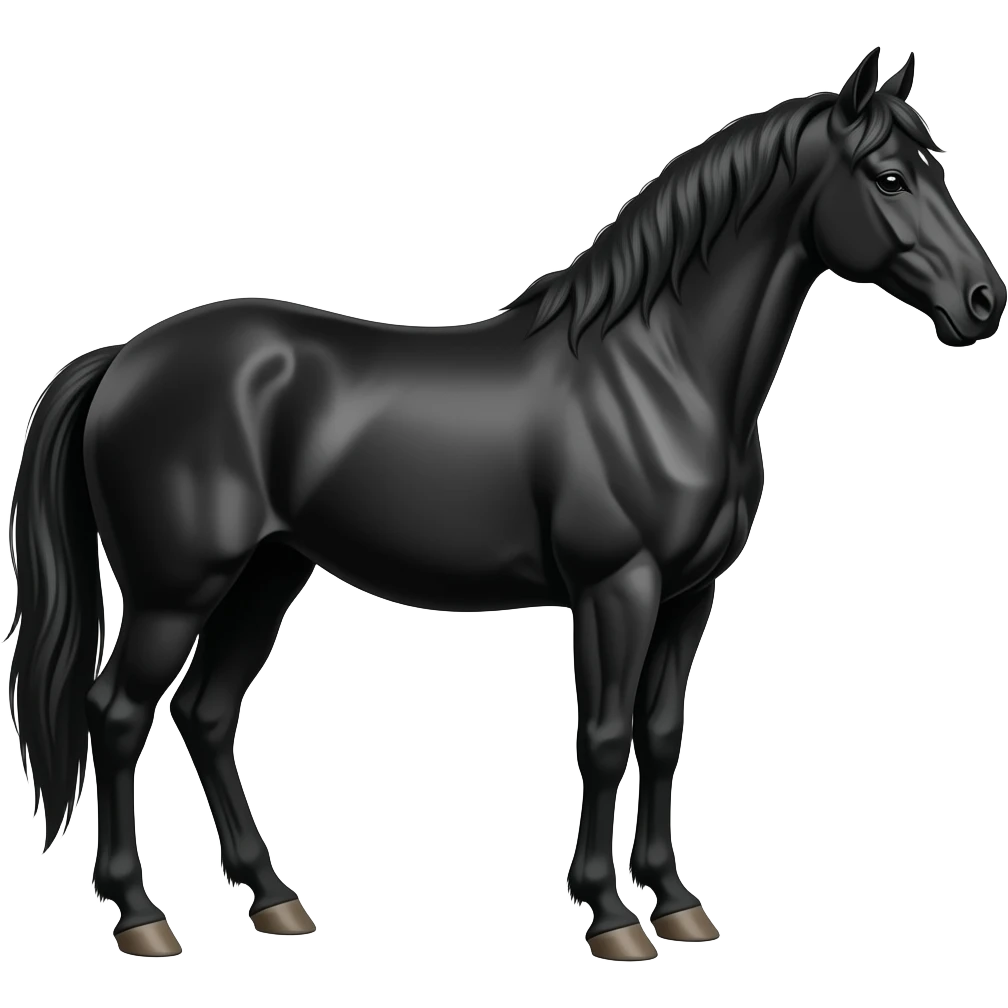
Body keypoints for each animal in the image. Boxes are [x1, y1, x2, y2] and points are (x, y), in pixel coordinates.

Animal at [5, 47, 1004, 961]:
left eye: (938, 166)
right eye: (888, 177)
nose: (984, 301)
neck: (660, 370)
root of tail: (124, 359)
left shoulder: (691, 594)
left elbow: (663, 734)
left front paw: (679, 901)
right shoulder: (617, 588)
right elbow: (603, 736)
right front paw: (611, 915)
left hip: (267, 574)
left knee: (207, 715)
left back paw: (276, 899)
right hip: (176, 591)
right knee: (116, 715)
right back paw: (141, 916)